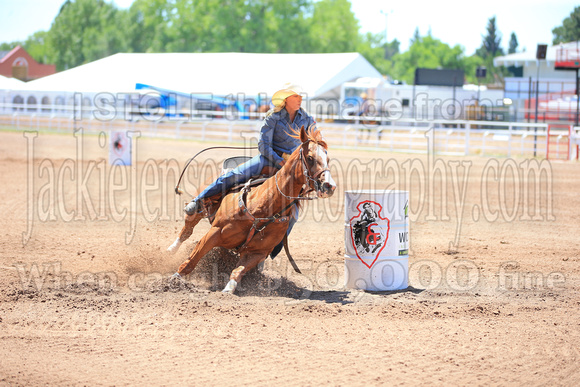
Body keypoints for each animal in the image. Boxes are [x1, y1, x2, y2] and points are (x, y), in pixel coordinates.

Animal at [167, 126, 336, 294]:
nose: (330, 186)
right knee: (187, 230)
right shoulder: (214, 232)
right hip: (198, 210)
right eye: (310, 157)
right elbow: (192, 260)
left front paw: (228, 290)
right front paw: (174, 280)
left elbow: (238, 271)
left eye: (327, 159)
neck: (263, 207)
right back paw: (171, 250)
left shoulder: (258, 252)